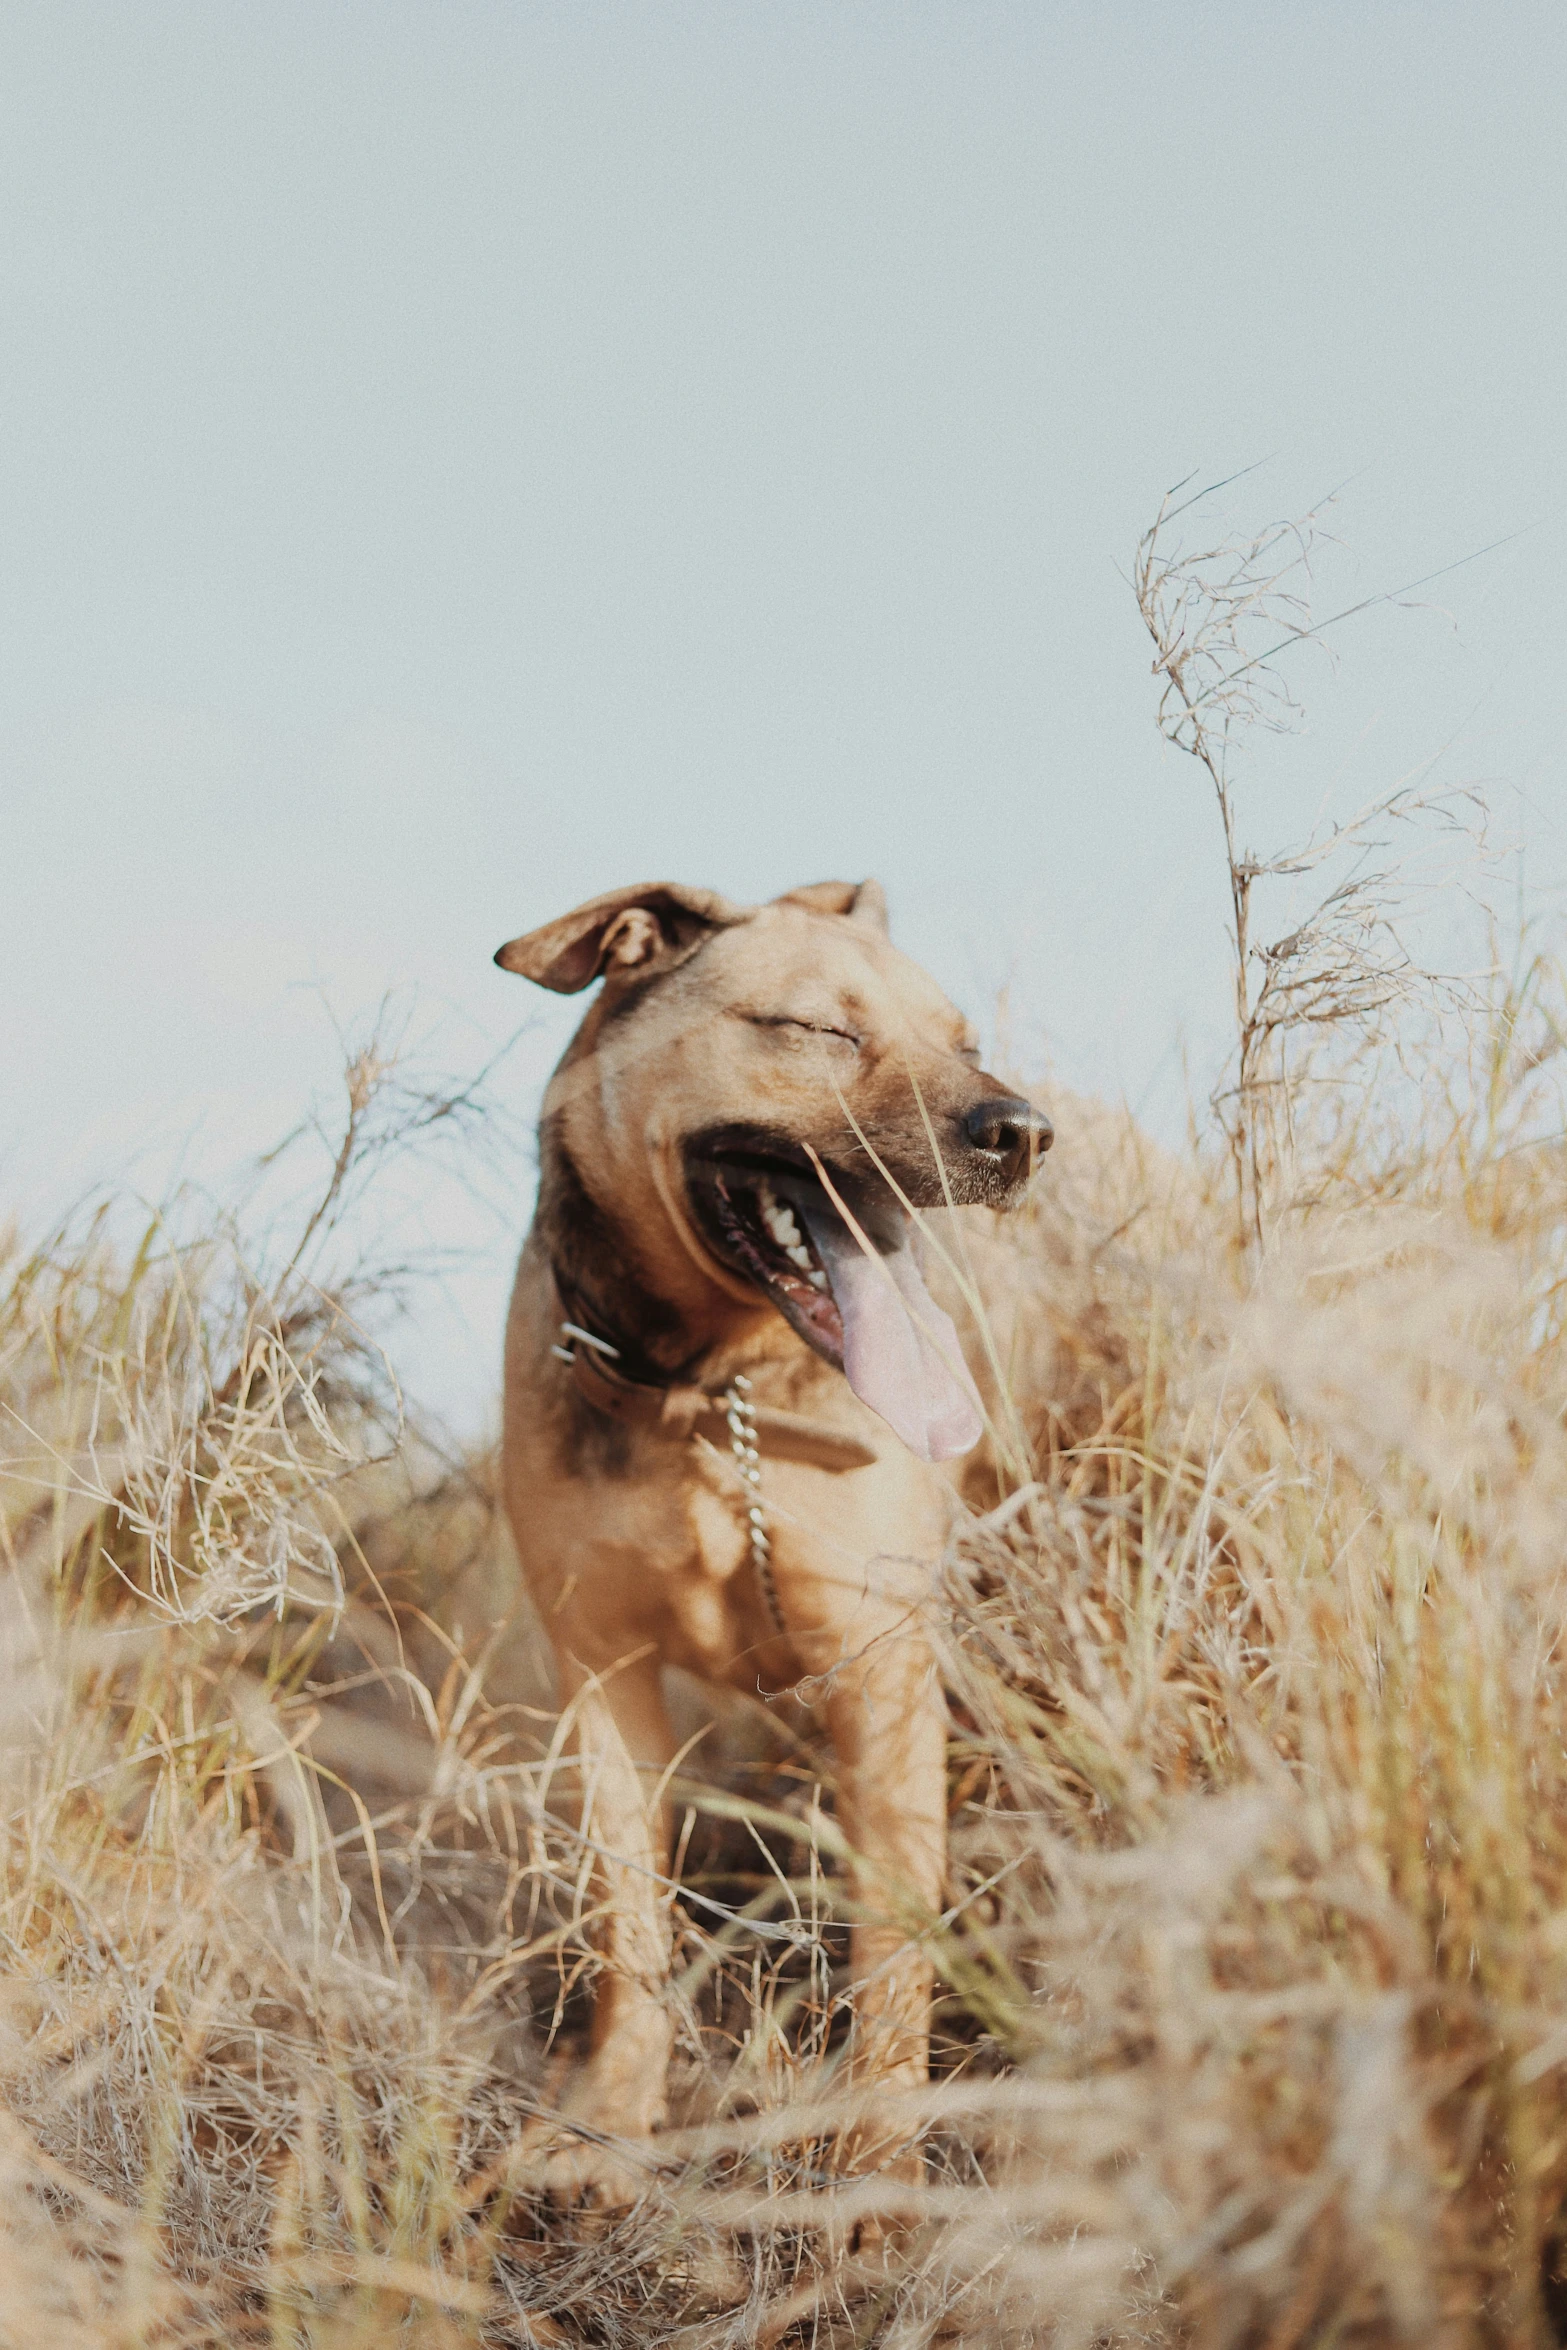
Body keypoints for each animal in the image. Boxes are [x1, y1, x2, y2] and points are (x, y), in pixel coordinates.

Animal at [495, 878, 1047, 2199]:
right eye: (819, 1030)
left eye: (962, 1040)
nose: (1023, 1131)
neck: (710, 1394)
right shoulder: (603, 1675)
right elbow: (630, 1924)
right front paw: (610, 2118)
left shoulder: (884, 1679)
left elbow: (888, 1947)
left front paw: (878, 2165)